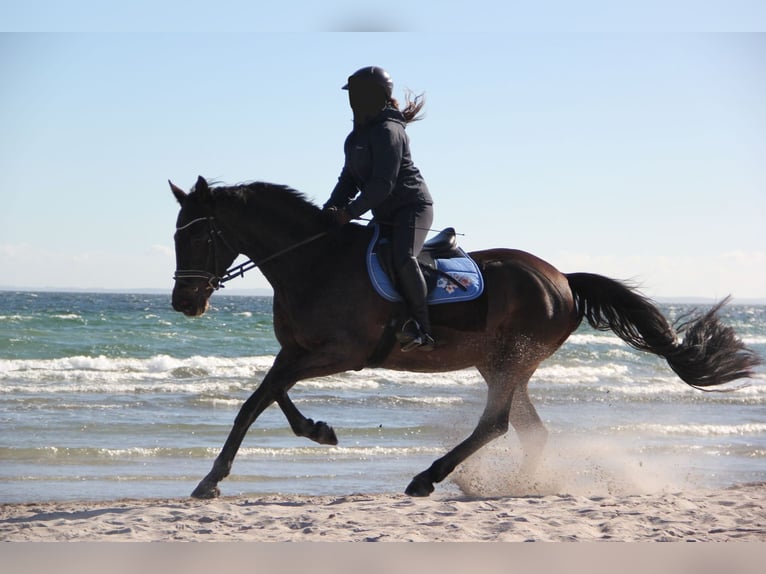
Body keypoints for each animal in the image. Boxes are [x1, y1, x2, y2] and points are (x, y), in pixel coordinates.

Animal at [168, 178, 760, 502]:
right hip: (499, 362)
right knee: (527, 429)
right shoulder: (297, 351)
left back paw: (428, 478)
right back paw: (517, 485)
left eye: (196, 236)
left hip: (512, 360)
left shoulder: (341, 353)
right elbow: (268, 395)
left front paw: (215, 478)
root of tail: (565, 279)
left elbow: (260, 400)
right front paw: (314, 431)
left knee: (496, 424)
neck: (312, 262)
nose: (183, 303)